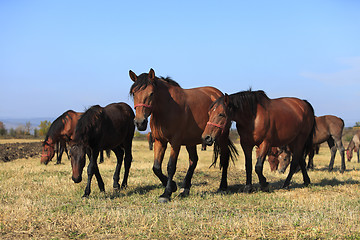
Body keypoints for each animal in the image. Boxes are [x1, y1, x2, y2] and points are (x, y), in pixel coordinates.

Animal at [129, 68, 236, 203]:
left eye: (151, 93)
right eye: (134, 93)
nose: (140, 122)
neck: (168, 108)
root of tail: (220, 95)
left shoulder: (175, 142)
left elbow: (171, 166)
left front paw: (166, 193)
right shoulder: (159, 141)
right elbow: (156, 167)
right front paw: (174, 186)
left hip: (221, 137)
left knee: (225, 159)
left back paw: (222, 187)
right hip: (191, 141)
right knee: (193, 161)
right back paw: (185, 188)